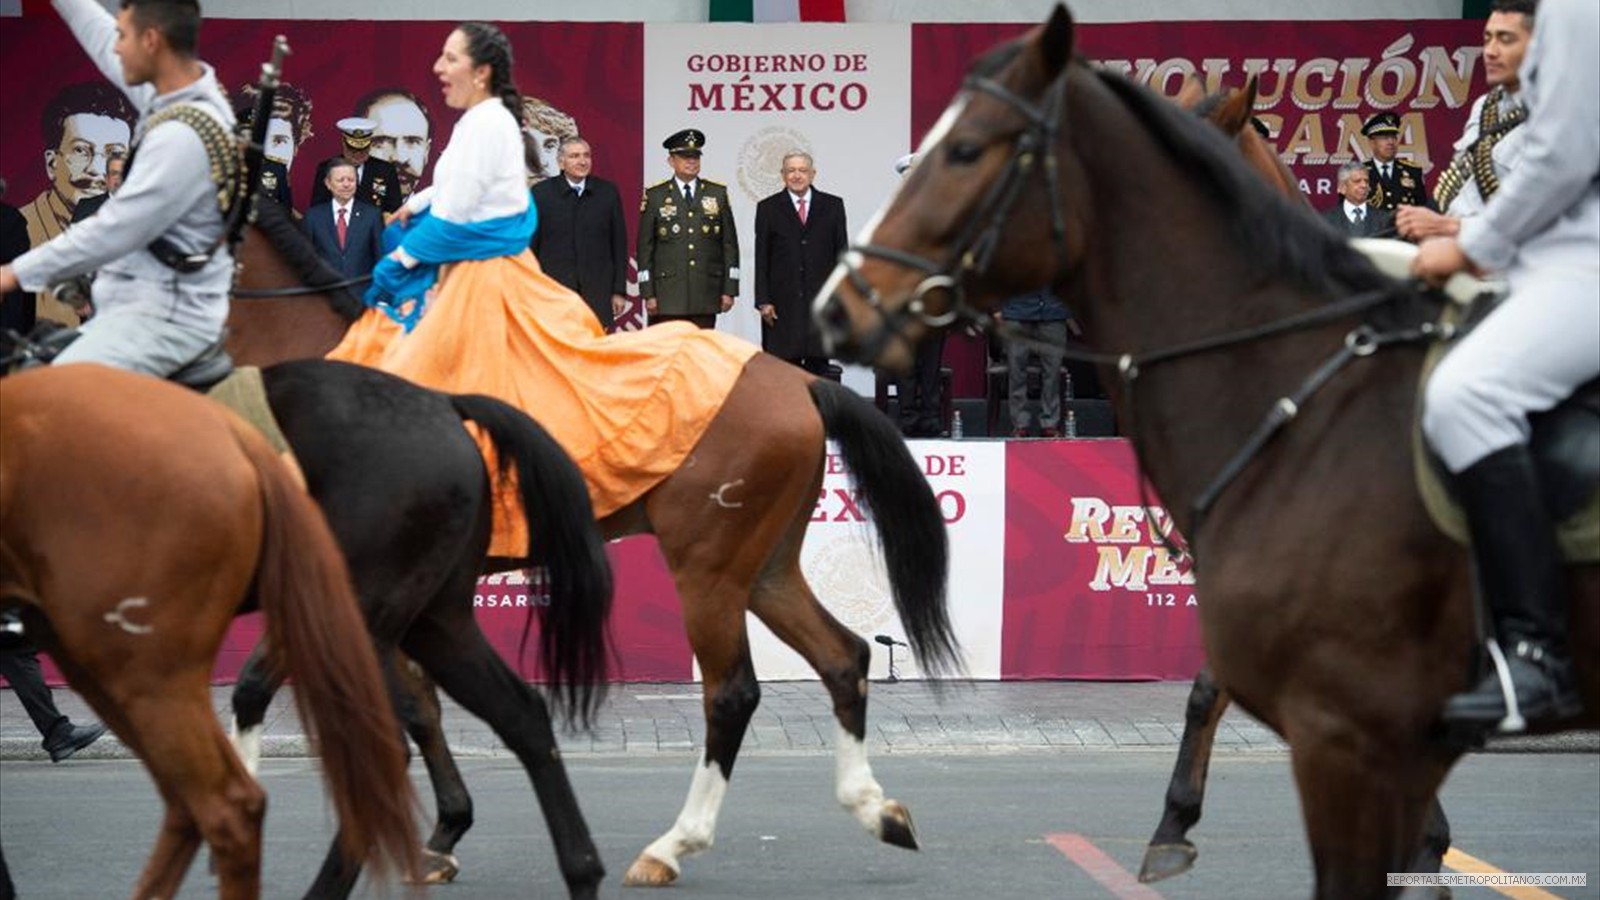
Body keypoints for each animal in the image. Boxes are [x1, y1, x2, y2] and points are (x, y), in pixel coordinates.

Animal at [224, 196, 960, 883]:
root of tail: (802, 380)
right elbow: (419, 708)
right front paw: (443, 833)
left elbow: (340, 698)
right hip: (764, 568)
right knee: (843, 656)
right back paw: (875, 809)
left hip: (708, 571)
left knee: (732, 693)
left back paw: (673, 845)